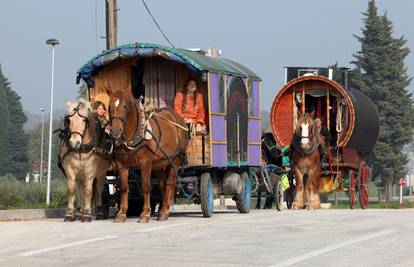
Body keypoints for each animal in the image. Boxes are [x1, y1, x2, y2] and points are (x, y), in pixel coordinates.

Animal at [107, 89, 190, 223]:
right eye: (109, 107)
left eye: (125, 106)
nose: (115, 131)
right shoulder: (122, 165)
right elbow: (124, 188)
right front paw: (121, 213)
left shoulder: (145, 162)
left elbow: (146, 186)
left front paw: (145, 213)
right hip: (159, 163)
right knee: (162, 184)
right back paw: (163, 209)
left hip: (175, 160)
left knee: (170, 184)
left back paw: (164, 211)